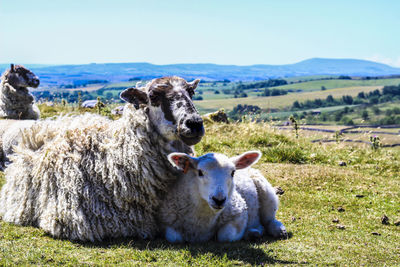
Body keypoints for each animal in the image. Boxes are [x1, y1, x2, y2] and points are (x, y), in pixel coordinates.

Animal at [158, 152, 286, 244]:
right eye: (200, 172)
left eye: (233, 173)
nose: (219, 200)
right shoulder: (167, 221)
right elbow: (174, 238)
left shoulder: (240, 213)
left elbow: (225, 236)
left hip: (266, 191)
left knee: (269, 219)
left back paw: (277, 230)